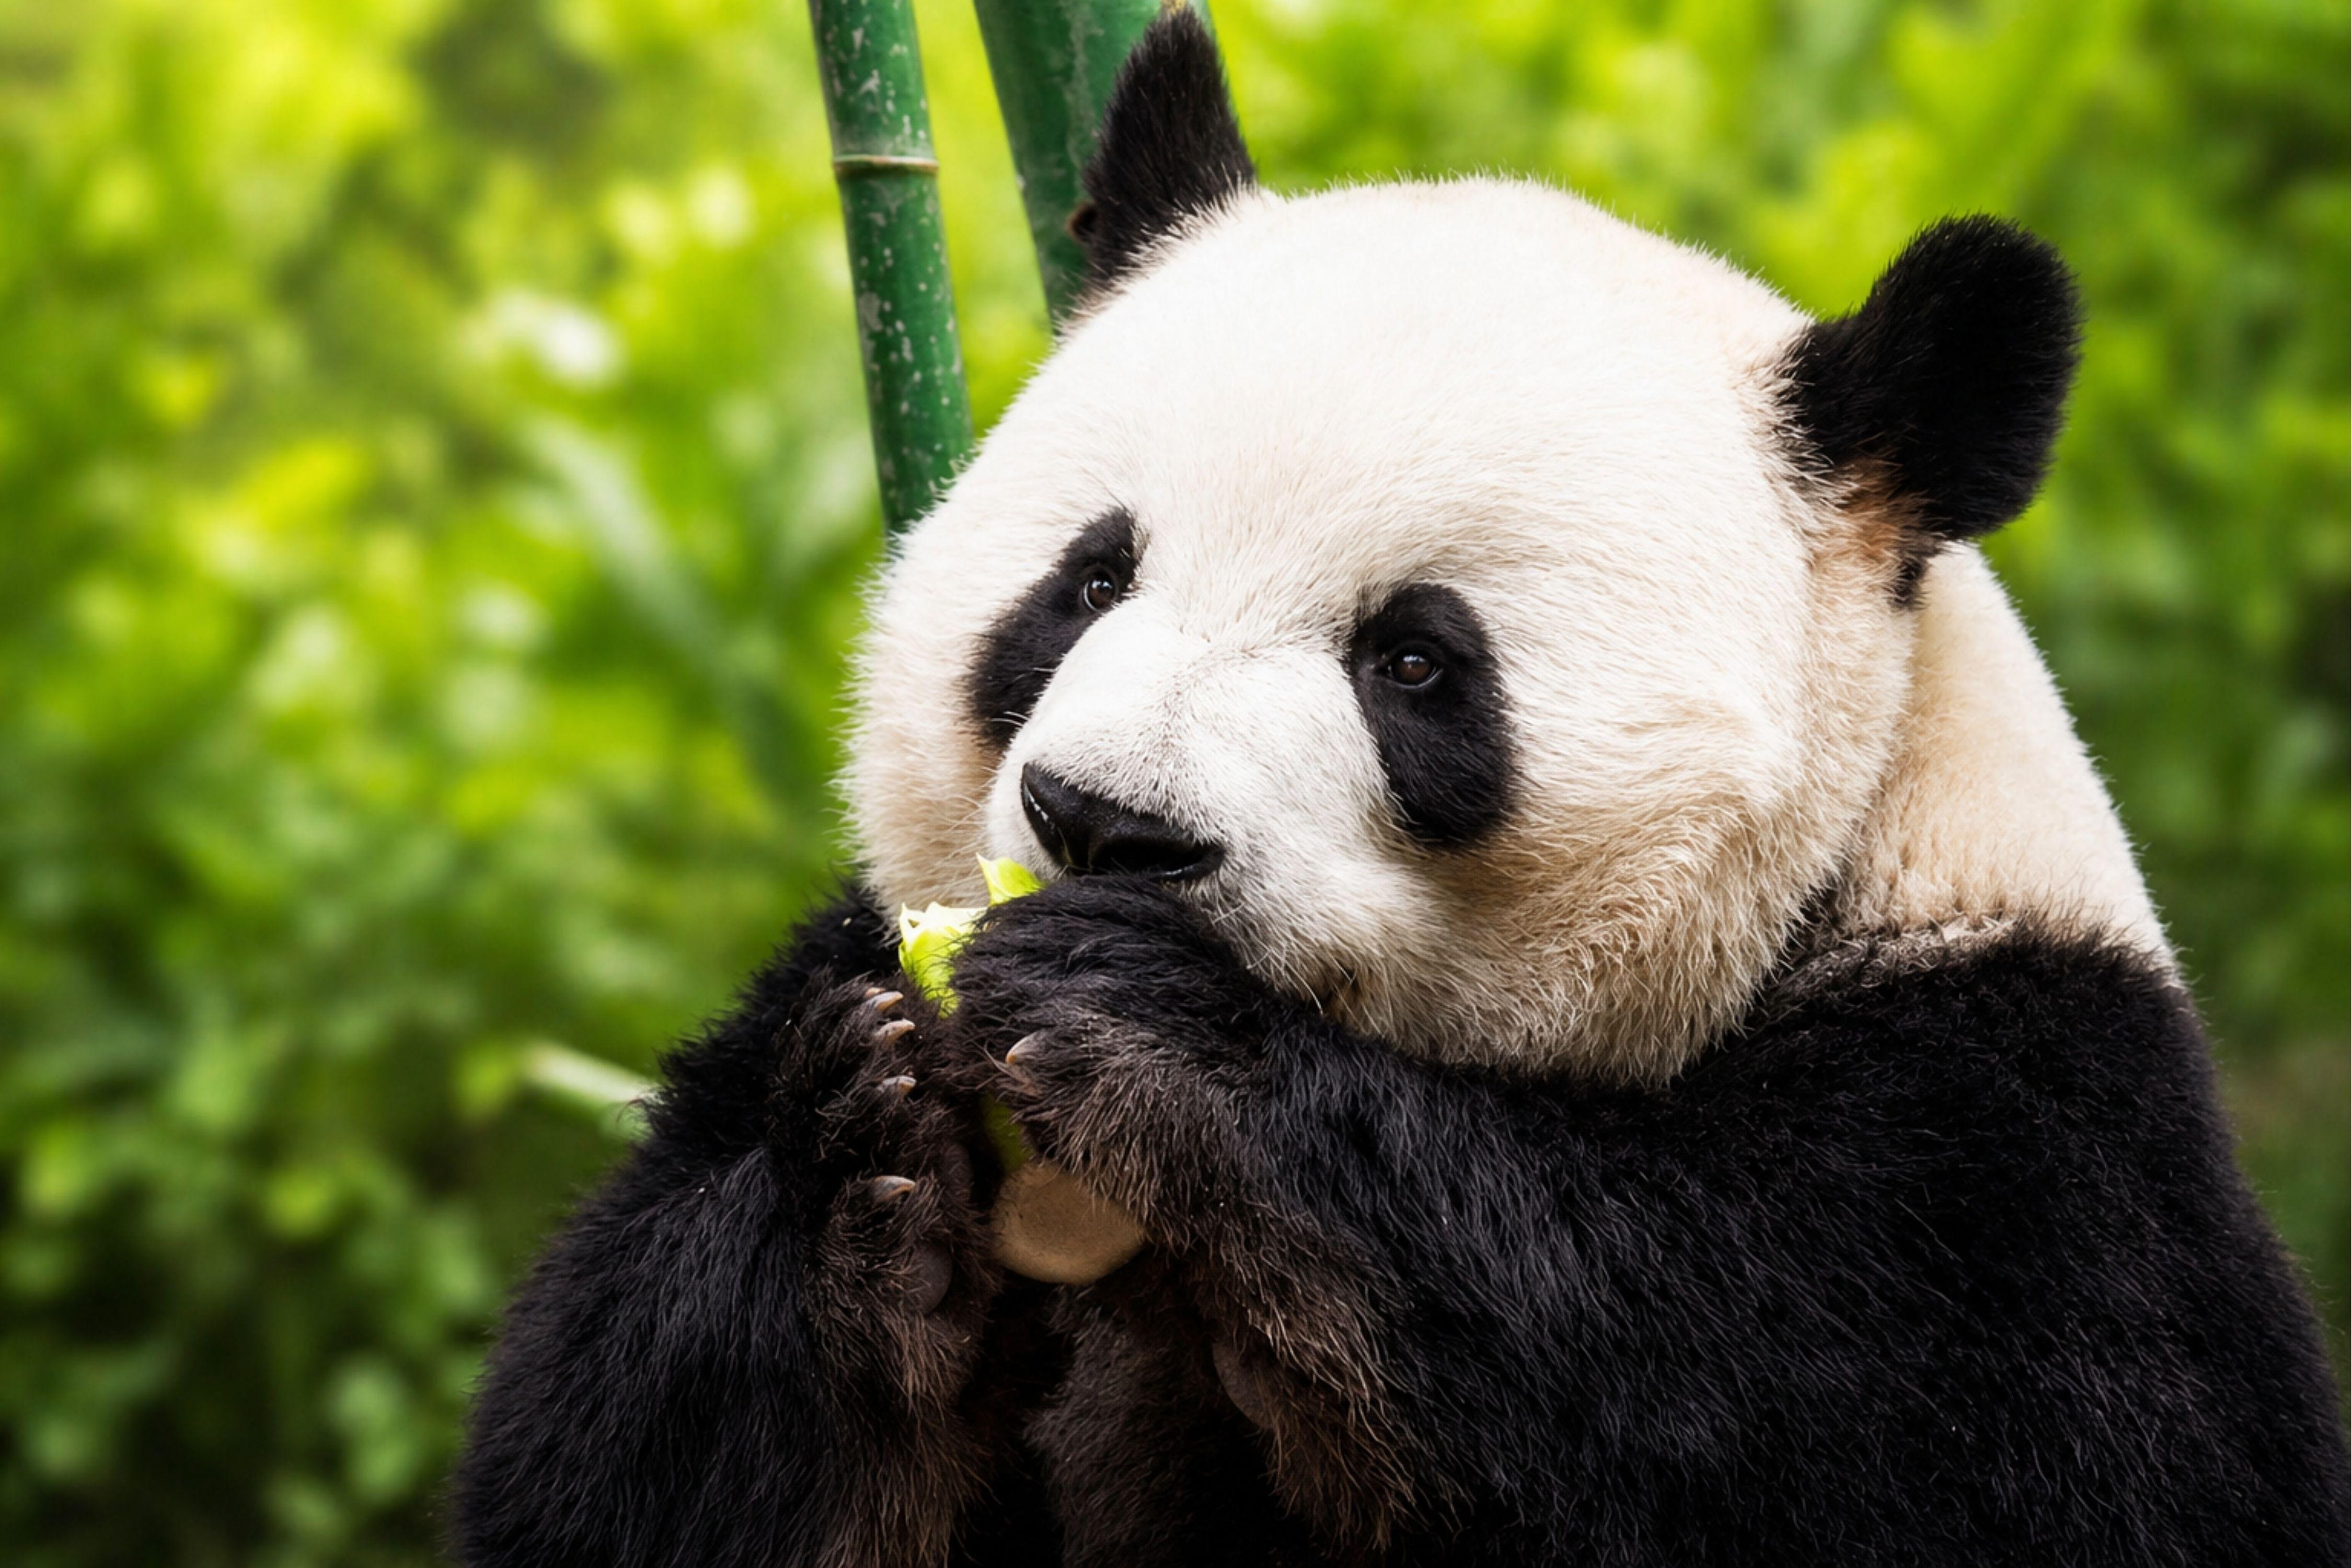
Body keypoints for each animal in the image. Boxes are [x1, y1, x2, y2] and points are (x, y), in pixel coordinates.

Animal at [451, 14, 2347, 1566]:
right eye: (1087, 579)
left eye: (1419, 664)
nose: (1103, 828)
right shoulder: (831, 969)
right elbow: (592, 1448)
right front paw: (863, 1152)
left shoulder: (2010, 1145)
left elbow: (1853, 1428)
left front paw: (1150, 1039)